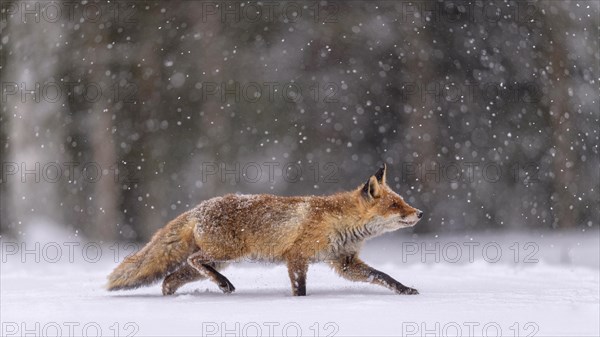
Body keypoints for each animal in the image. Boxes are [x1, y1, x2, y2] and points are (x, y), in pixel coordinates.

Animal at [109, 164, 426, 296]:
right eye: (396, 205)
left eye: (402, 201)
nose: (420, 213)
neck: (340, 222)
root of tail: (198, 208)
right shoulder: (297, 256)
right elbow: (300, 289)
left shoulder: (344, 262)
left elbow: (383, 276)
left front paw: (405, 290)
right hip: (227, 253)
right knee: (193, 260)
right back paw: (223, 285)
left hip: (219, 258)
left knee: (171, 277)